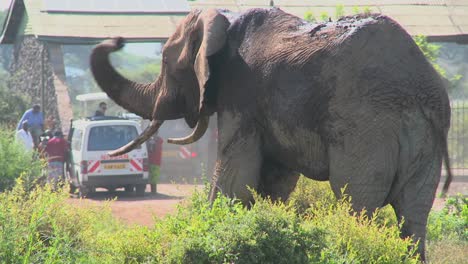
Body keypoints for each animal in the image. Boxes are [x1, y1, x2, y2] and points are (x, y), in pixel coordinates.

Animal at [89, 8, 452, 260]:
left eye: (165, 63)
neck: (225, 21)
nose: (118, 40)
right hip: (424, 140)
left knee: (357, 200)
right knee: (413, 211)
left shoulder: (241, 95)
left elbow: (235, 177)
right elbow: (275, 182)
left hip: (365, 127)